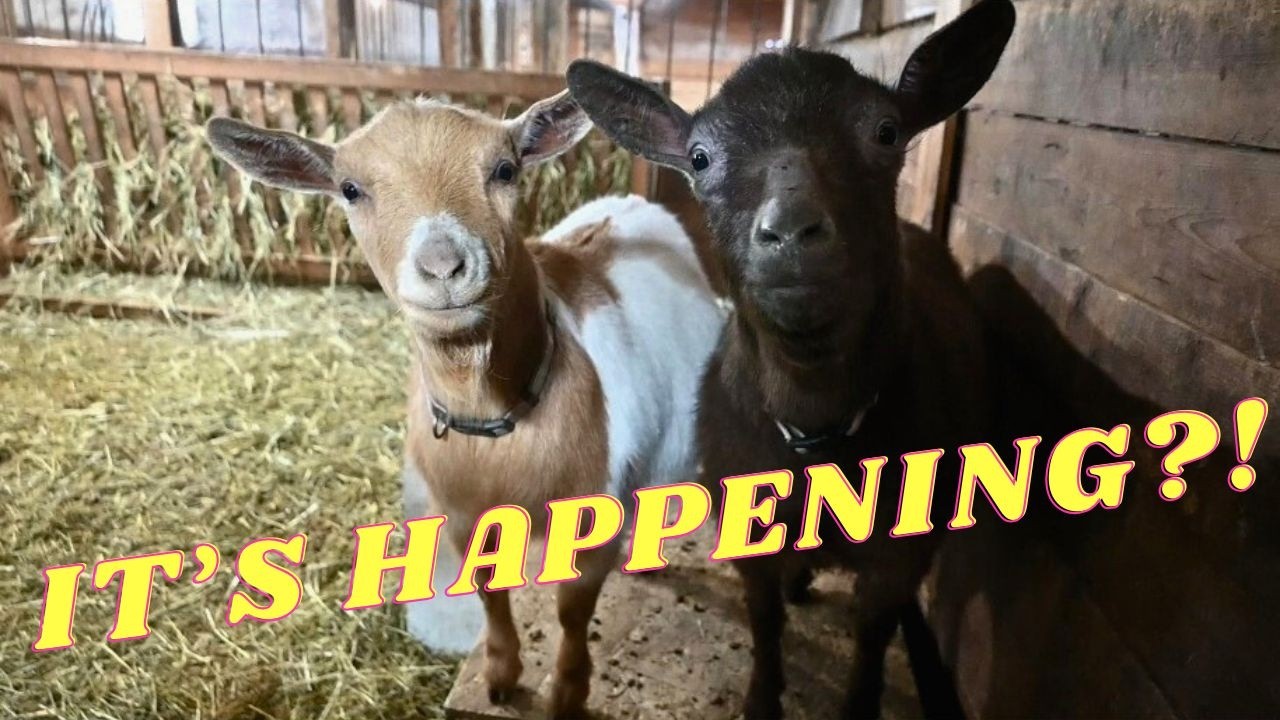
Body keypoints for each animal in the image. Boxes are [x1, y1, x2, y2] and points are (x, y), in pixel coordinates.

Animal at [206, 92, 723, 718]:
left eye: (505, 169)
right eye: (350, 188)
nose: (443, 266)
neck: (499, 424)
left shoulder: (594, 515)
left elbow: (572, 613)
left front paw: (567, 692)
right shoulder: (460, 512)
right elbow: (487, 590)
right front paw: (500, 675)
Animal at [568, 0, 1015, 716]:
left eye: (886, 131)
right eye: (699, 157)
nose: (790, 232)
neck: (816, 421)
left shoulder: (903, 554)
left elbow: (872, 634)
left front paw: (858, 705)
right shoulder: (746, 529)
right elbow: (764, 617)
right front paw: (762, 697)